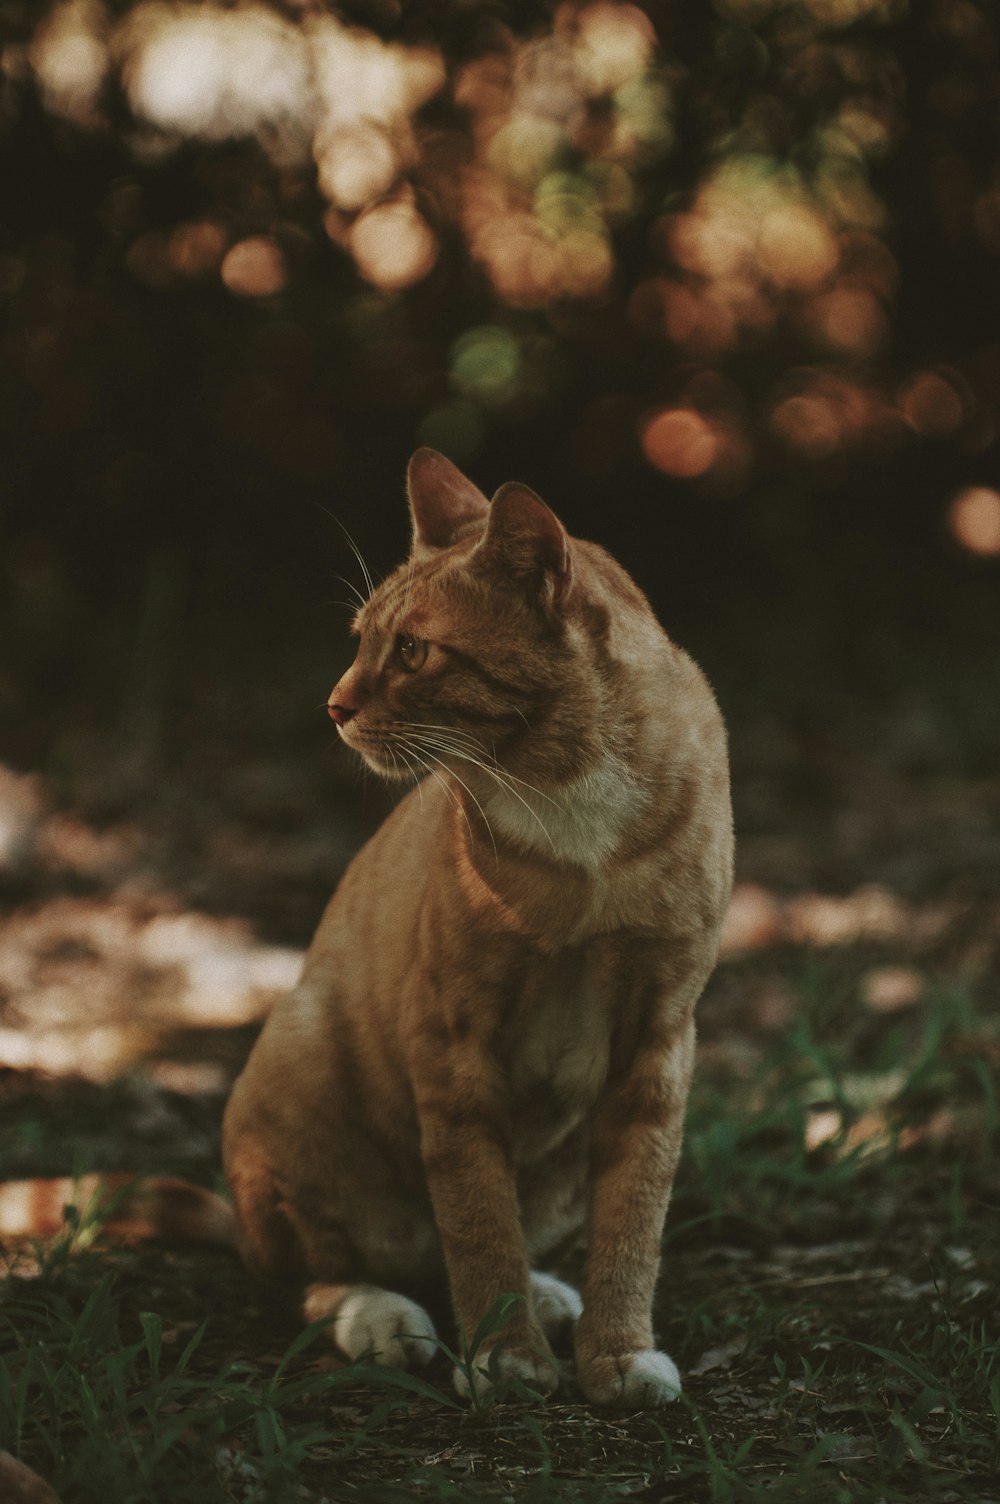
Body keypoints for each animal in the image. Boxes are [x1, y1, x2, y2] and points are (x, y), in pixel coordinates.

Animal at [221, 448, 733, 1407]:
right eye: (360, 639)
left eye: (413, 650)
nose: (333, 705)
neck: (570, 809)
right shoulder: (453, 1038)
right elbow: (476, 1213)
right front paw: (505, 1355)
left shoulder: (660, 1039)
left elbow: (633, 1216)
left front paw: (615, 1353)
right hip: (300, 1059)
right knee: (317, 1270)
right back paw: (385, 1316)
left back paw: (546, 1293)